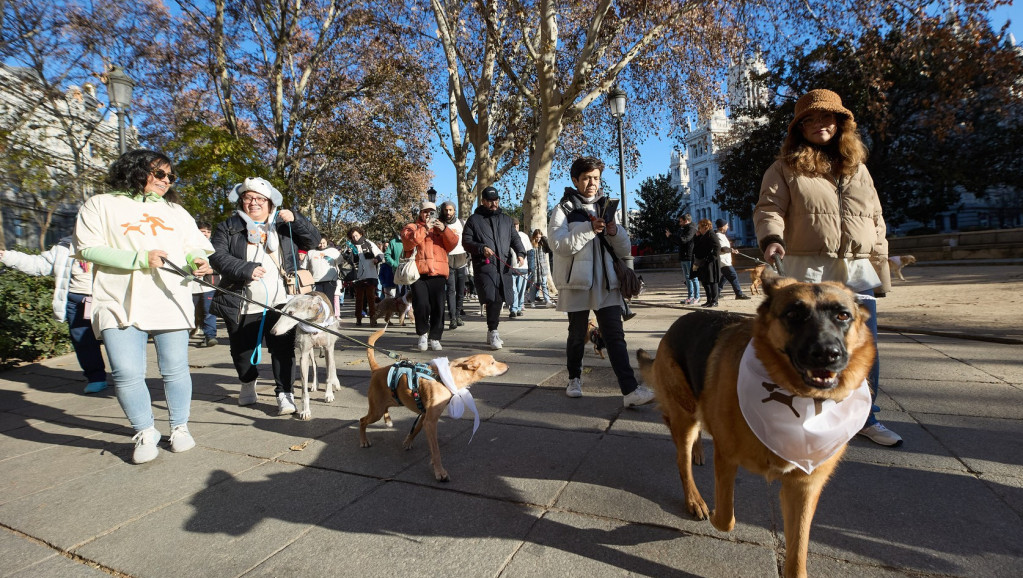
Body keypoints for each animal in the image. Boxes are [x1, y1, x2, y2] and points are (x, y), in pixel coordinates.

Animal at [360, 327, 511, 480]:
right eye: (492, 363)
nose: (508, 366)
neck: (447, 378)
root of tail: (377, 369)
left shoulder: (425, 415)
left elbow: (416, 430)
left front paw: (408, 442)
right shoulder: (430, 421)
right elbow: (436, 449)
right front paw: (439, 471)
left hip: (389, 402)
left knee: (385, 408)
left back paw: (388, 420)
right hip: (376, 411)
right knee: (362, 420)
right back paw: (364, 440)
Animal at [638, 274, 871, 576]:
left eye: (843, 315)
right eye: (794, 315)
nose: (827, 353)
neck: (796, 401)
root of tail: (678, 323)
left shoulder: (804, 486)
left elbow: (798, 553)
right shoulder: (726, 460)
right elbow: (726, 518)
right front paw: (714, 514)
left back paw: (698, 453)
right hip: (684, 414)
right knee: (682, 459)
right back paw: (694, 499)